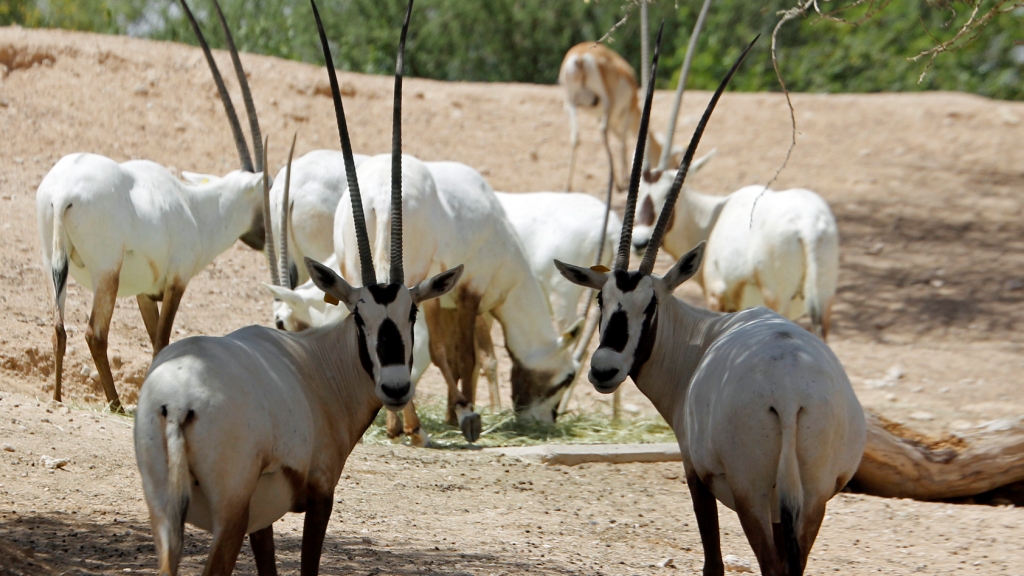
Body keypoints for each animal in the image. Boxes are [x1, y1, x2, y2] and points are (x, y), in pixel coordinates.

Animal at [35, 0, 266, 410]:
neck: (197, 207)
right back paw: (115, 404)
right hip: (106, 273)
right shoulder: (176, 282)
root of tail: (61, 193)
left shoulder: (147, 291)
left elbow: (155, 338)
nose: (264, 237)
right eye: (268, 191)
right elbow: (162, 343)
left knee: (59, 328)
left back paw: (59, 397)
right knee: (94, 333)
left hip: (52, 262)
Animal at [134, 2, 464, 574]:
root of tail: (175, 401)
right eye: (360, 315)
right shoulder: (318, 497)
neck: (315, 365)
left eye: (411, 313)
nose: (396, 386)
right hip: (227, 515)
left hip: (167, 517)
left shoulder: (260, 520)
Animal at [559, 42, 682, 192]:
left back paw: (567, 186)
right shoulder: (627, 113)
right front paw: (625, 177)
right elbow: (623, 142)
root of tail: (581, 57)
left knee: (576, 137)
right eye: (673, 163)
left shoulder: (608, 118)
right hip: (607, 102)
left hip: (570, 103)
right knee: (603, 132)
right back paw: (616, 184)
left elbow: (619, 139)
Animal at [632, 155, 839, 339]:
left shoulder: (716, 297)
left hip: (776, 300)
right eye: (637, 192)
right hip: (823, 303)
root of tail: (808, 225)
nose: (640, 242)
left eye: (668, 193)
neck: (711, 220)